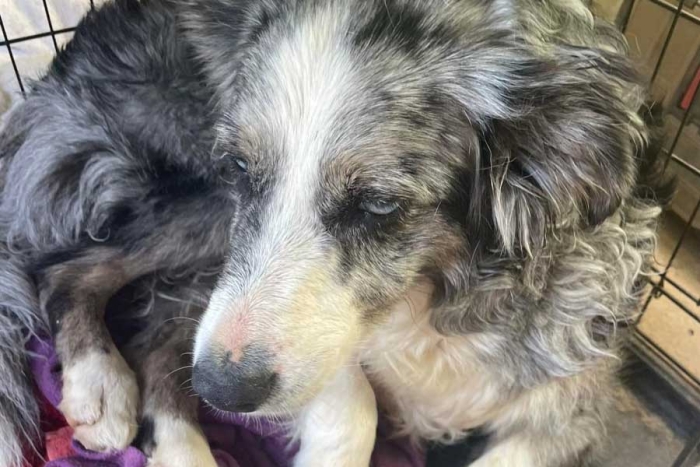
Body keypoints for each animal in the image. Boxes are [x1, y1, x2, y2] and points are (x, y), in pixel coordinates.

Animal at [0, 0, 672, 464]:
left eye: (377, 205)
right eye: (238, 167)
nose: (224, 389)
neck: (443, 295)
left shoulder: (574, 392)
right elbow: (354, 401)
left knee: (159, 339)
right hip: (204, 215)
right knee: (72, 272)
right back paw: (101, 387)